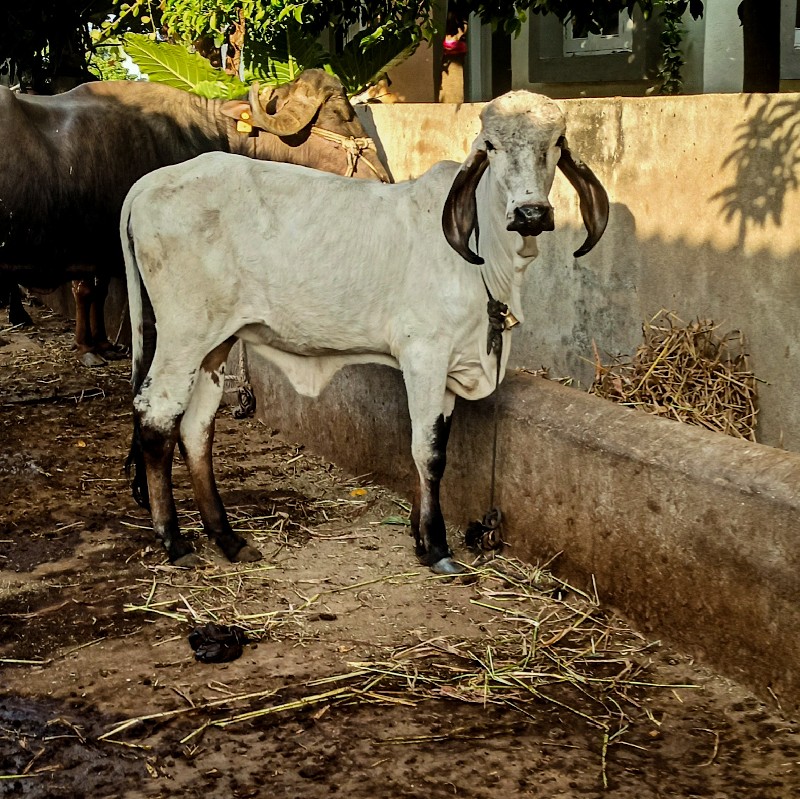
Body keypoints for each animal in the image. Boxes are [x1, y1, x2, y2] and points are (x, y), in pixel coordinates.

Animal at [123, 90, 608, 572]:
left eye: (557, 142)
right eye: (490, 145)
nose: (531, 213)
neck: (488, 258)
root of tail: (148, 183)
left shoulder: (448, 368)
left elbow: (433, 442)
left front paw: (419, 535)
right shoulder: (424, 356)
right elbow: (428, 452)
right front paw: (435, 546)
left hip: (215, 343)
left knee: (196, 427)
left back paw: (227, 538)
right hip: (183, 336)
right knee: (156, 416)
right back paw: (174, 540)